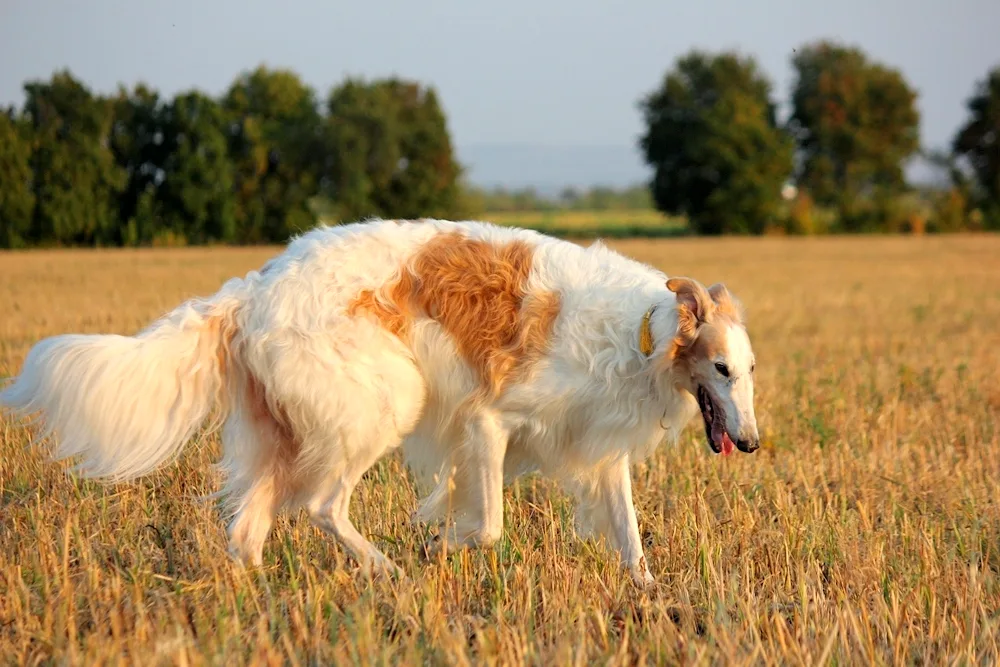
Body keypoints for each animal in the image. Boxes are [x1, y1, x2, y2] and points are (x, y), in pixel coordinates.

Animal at [0, 219, 756, 584]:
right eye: (720, 368)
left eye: (749, 370)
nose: (751, 443)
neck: (644, 330)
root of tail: (254, 287)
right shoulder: (489, 419)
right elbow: (486, 527)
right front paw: (436, 547)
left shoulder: (596, 445)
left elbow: (630, 536)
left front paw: (652, 593)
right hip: (384, 402)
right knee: (322, 507)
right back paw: (386, 568)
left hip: (290, 431)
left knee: (248, 532)